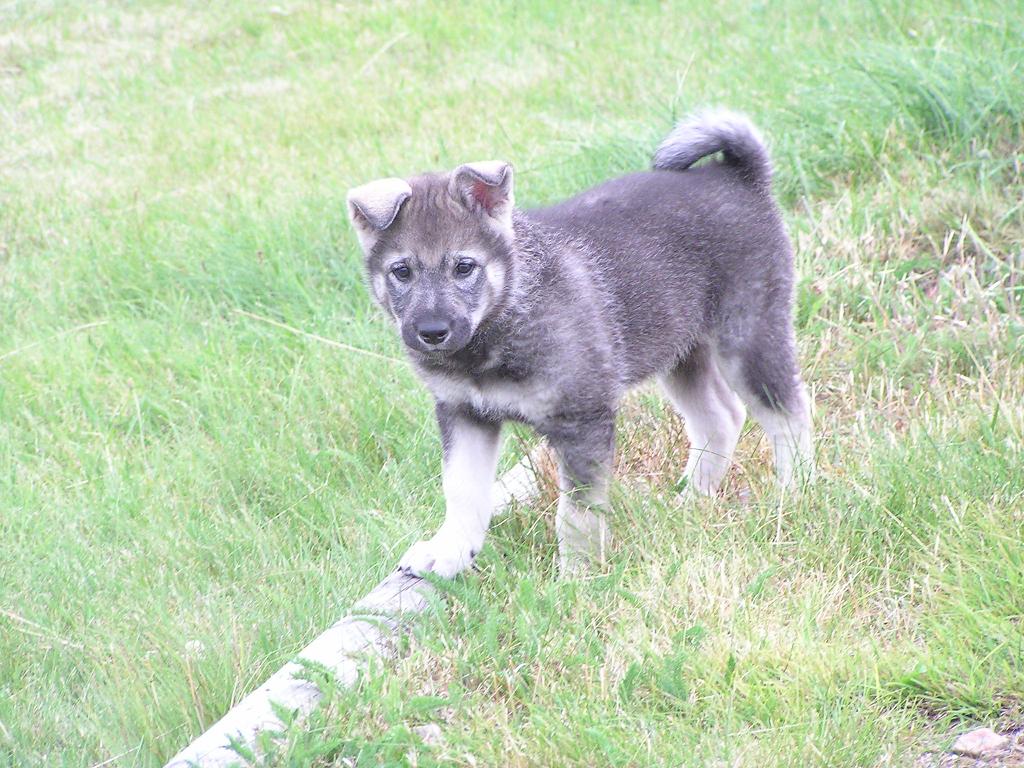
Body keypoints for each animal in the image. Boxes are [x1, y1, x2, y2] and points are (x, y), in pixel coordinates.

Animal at [348, 108, 811, 577]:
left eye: (464, 267)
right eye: (401, 271)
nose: (431, 332)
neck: (502, 321)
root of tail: (738, 175)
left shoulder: (581, 420)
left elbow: (577, 512)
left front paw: (579, 575)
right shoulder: (463, 412)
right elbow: (462, 490)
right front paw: (449, 552)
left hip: (748, 338)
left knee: (787, 413)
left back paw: (793, 492)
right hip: (680, 349)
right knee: (720, 417)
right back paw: (693, 499)